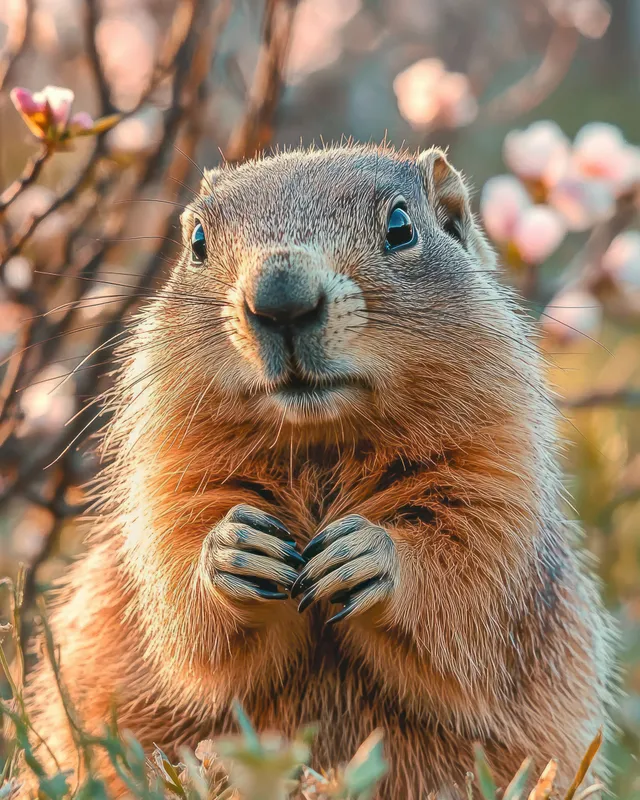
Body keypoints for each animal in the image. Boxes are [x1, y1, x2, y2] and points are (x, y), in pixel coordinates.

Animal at [21, 144, 615, 798]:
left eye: (401, 227)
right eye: (197, 239)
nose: (279, 295)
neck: (320, 442)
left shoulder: (495, 463)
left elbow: (473, 572)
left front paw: (369, 555)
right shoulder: (168, 470)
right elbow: (177, 582)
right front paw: (232, 549)